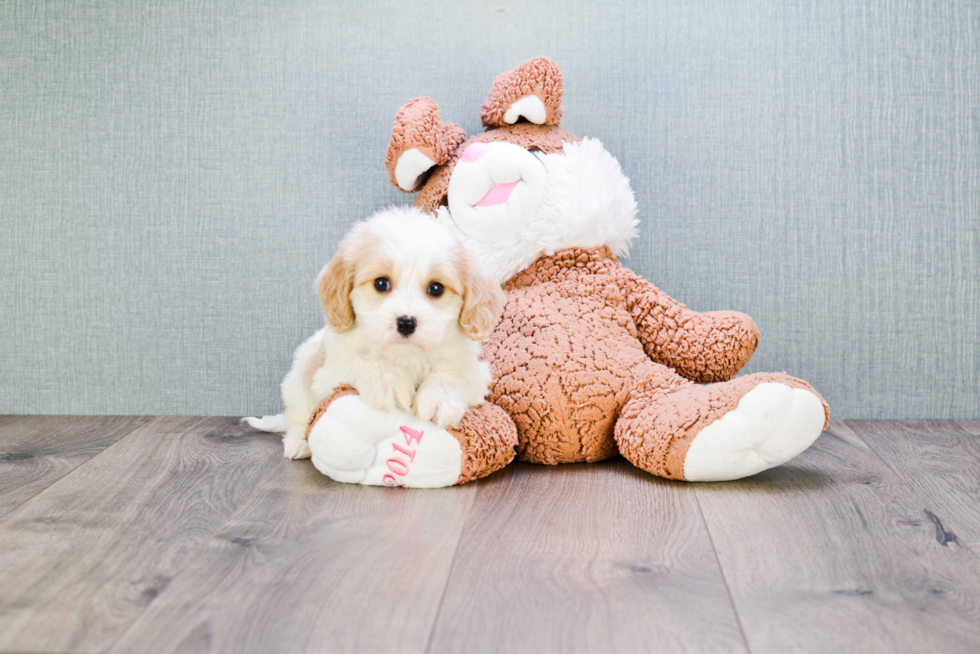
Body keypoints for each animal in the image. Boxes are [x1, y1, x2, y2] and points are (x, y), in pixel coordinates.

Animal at [245, 208, 506, 458]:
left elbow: (453, 376)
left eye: (436, 288)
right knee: (298, 416)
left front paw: (438, 400)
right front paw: (387, 381)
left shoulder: (475, 373)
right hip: (299, 377)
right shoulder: (329, 374)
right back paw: (299, 442)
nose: (406, 322)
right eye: (381, 283)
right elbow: (363, 362)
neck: (405, 356)